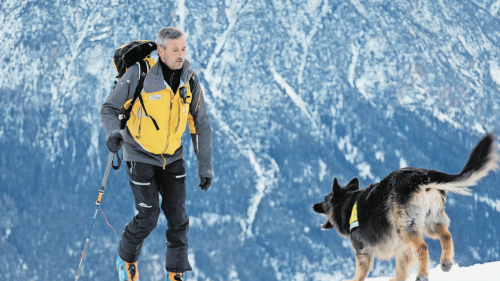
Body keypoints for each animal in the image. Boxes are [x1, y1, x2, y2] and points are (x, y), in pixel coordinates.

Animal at [312, 133, 500, 280]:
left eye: (325, 199)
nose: (313, 206)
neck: (348, 204)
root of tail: (422, 176)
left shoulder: (362, 251)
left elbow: (360, 273)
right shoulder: (402, 248)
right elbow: (401, 269)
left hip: (406, 227)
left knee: (423, 247)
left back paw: (422, 275)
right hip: (429, 222)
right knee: (446, 235)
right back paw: (445, 262)